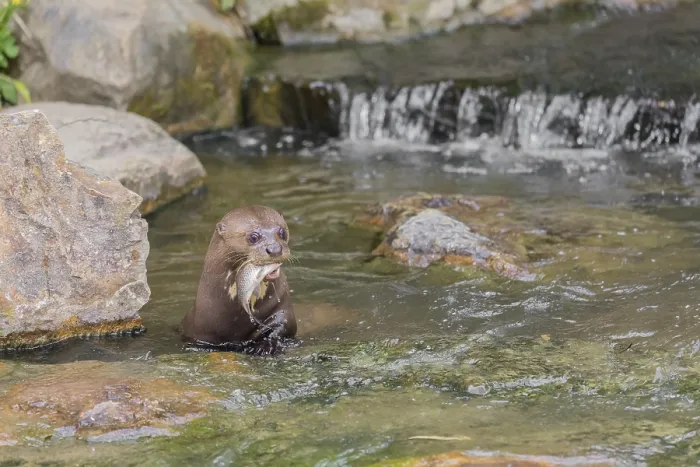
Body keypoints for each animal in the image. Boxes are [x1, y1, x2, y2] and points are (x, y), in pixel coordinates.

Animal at [179, 205, 297, 356]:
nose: (274, 248)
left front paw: (265, 346)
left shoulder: (283, 309)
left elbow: (283, 325)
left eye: (282, 232)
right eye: (253, 237)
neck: (236, 320)